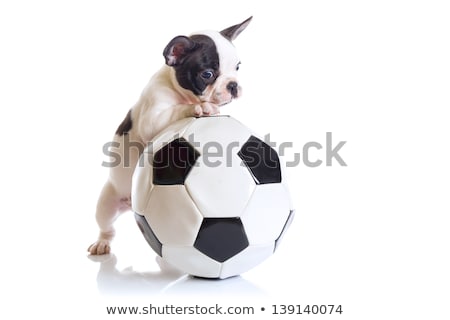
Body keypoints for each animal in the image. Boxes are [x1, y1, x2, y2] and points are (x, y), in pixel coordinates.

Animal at [86, 17, 251, 254]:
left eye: (237, 67)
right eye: (207, 74)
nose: (233, 85)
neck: (179, 90)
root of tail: (129, 203)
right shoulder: (151, 119)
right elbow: (176, 111)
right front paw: (200, 108)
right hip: (107, 203)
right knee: (106, 226)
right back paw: (102, 243)